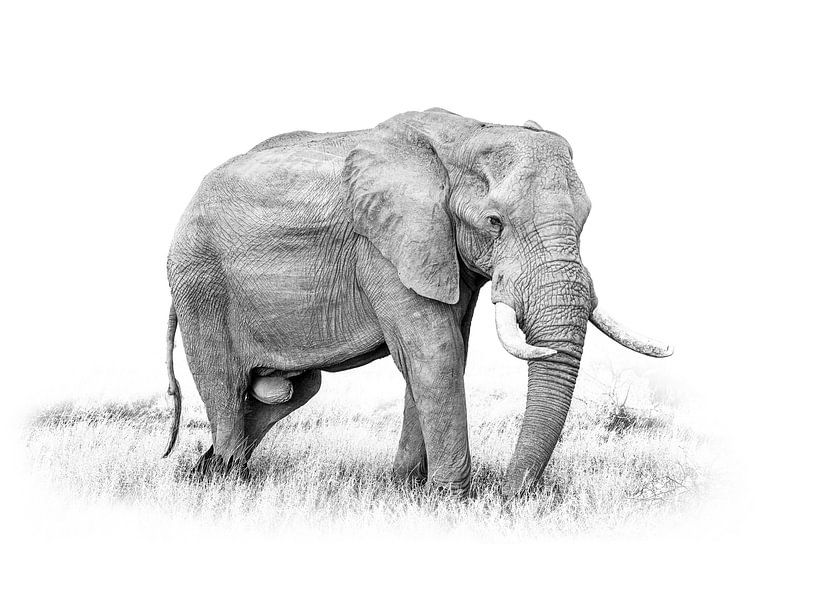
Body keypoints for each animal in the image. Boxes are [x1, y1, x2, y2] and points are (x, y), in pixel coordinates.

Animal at [163, 108, 672, 498]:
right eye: (494, 222)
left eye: (585, 220)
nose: (512, 496)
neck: (467, 135)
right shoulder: (384, 246)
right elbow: (436, 353)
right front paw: (450, 500)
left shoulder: (445, 254)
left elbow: (443, 354)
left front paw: (406, 490)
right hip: (200, 283)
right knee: (226, 384)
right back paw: (226, 481)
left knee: (296, 390)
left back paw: (204, 471)